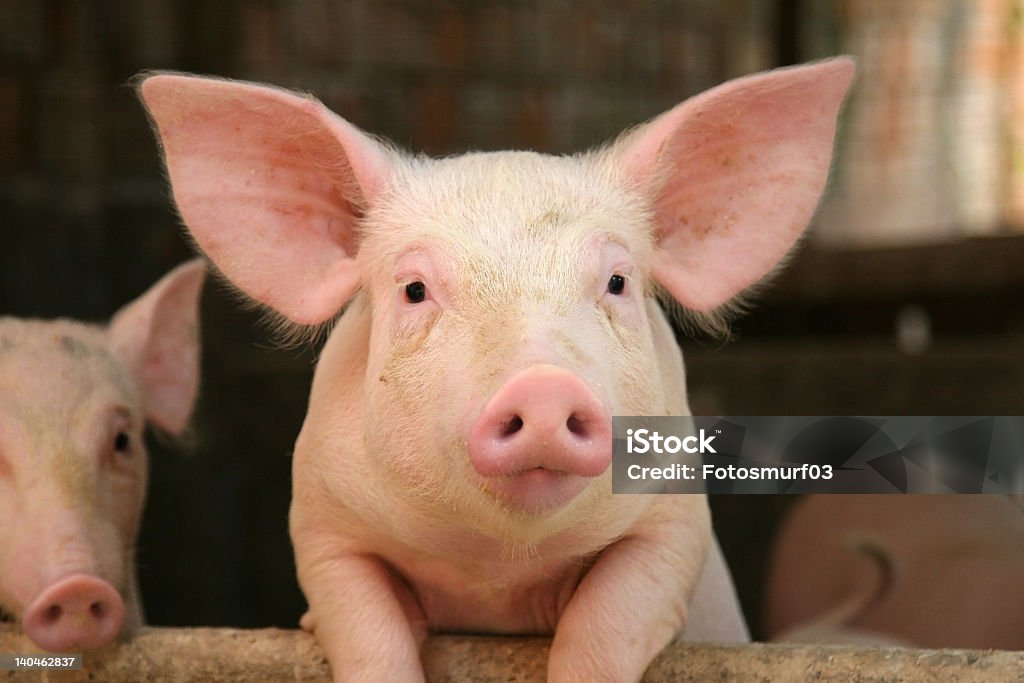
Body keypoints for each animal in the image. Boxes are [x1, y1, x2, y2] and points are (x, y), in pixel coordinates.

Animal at [136, 60, 851, 683]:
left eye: (617, 282)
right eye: (415, 289)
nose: (542, 386)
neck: (497, 573)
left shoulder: (675, 523)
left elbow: (606, 624)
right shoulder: (321, 522)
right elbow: (366, 630)